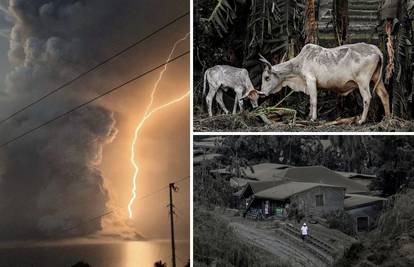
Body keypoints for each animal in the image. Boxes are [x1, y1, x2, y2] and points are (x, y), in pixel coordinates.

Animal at [260, 43, 390, 124]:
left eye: (267, 78)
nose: (262, 93)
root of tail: (375, 49)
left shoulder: (311, 80)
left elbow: (313, 101)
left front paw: (313, 118)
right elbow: (311, 101)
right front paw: (309, 116)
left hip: (362, 81)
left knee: (367, 98)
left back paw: (361, 120)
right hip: (376, 79)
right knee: (384, 95)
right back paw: (387, 118)